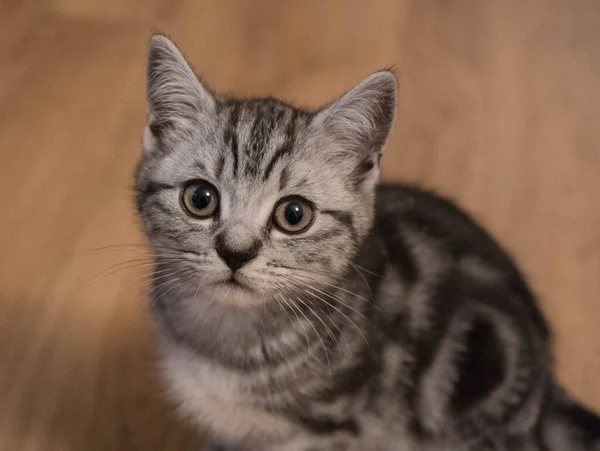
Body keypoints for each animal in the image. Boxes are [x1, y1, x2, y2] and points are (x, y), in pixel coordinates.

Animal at [135, 35, 600, 451]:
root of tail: (546, 397)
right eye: (200, 199)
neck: (227, 338)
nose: (235, 252)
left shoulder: (332, 430)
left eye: (293, 215)